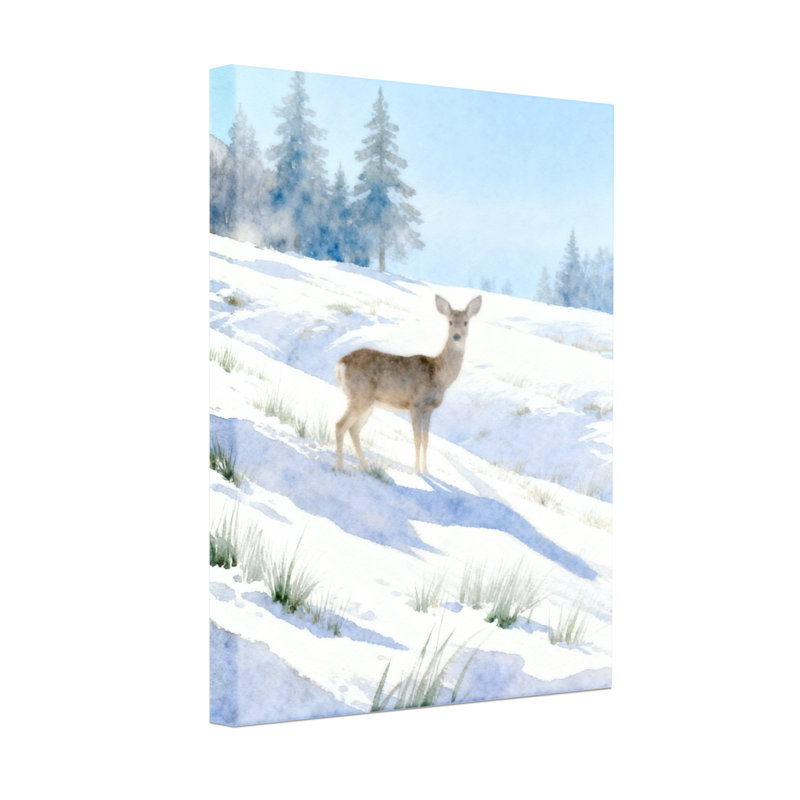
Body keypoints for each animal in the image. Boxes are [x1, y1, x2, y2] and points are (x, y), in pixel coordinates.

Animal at [335, 294, 482, 474]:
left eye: (466, 322)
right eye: (450, 321)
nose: (456, 336)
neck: (438, 375)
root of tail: (341, 363)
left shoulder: (429, 409)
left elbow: (426, 440)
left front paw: (426, 471)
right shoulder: (415, 404)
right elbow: (417, 439)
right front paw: (417, 471)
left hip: (368, 403)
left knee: (353, 429)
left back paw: (365, 467)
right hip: (360, 395)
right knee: (340, 425)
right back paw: (341, 468)